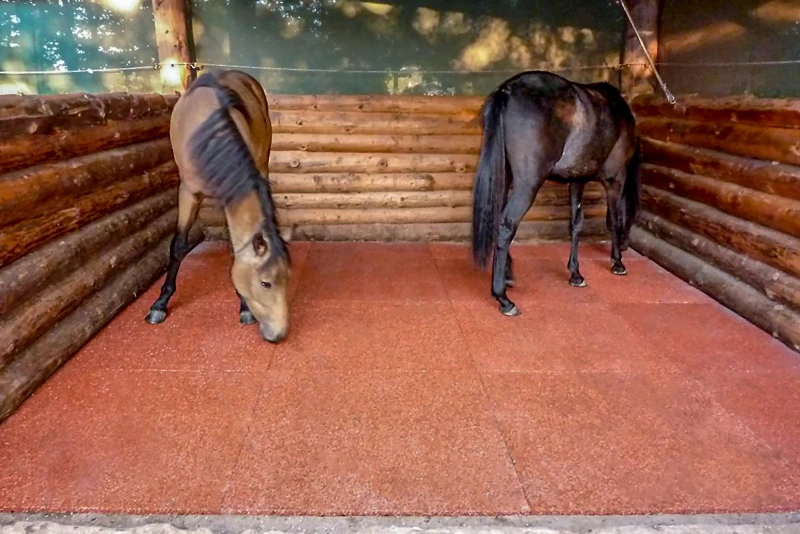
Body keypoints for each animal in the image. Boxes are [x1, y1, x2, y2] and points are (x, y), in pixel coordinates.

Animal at [144, 69, 293, 343]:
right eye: (265, 283)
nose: (278, 334)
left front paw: (244, 307)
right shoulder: (188, 191)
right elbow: (178, 246)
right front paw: (160, 303)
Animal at [471, 70, 641, 316]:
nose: (628, 246)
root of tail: (507, 90)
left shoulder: (577, 180)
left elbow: (576, 224)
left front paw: (575, 274)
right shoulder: (615, 179)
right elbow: (615, 221)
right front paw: (617, 263)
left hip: (505, 176)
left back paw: (508, 276)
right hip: (528, 184)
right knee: (507, 224)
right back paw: (503, 298)